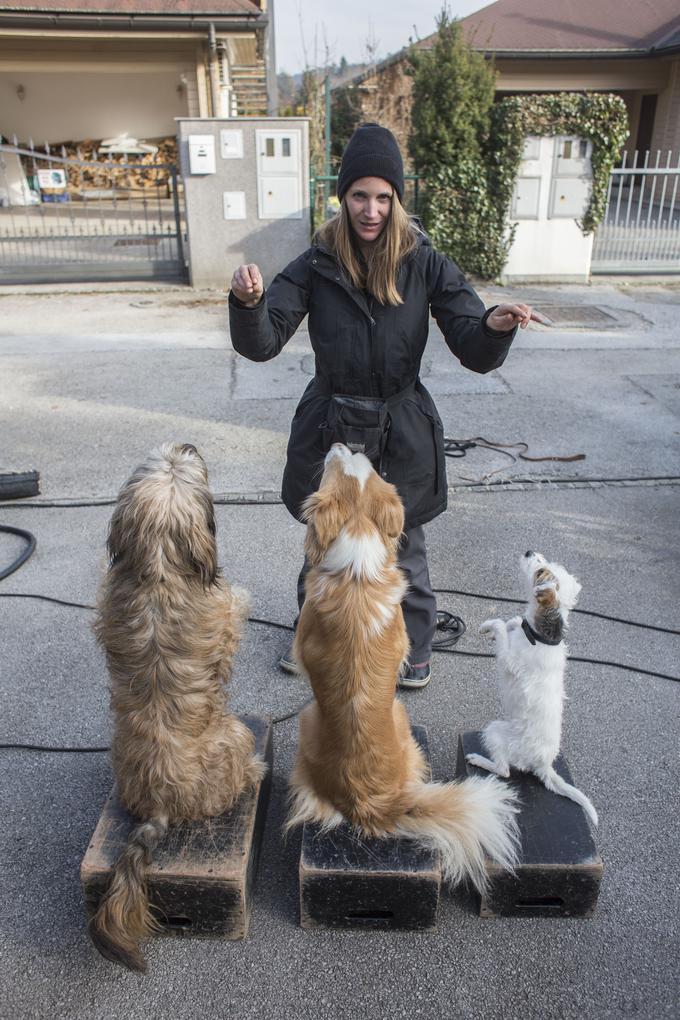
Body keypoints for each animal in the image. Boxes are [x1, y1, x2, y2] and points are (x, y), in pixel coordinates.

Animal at [88, 444, 263, 971]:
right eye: (186, 470)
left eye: (171, 460)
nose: (188, 445)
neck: (159, 565)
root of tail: (161, 805)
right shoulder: (223, 613)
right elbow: (234, 610)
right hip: (236, 733)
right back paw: (255, 770)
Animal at [464, 550, 599, 828]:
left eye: (541, 571)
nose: (529, 552)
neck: (540, 637)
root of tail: (543, 763)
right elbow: (513, 621)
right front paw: (502, 624)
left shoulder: (509, 661)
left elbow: (500, 625)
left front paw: (493, 626)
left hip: (496, 731)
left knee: (504, 770)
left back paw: (479, 760)